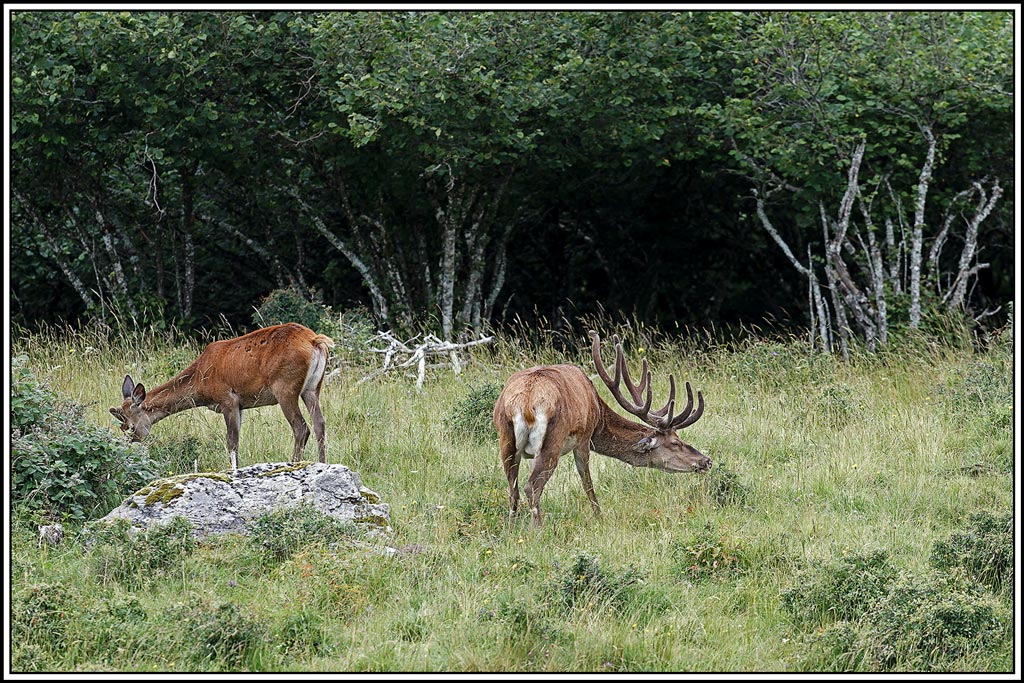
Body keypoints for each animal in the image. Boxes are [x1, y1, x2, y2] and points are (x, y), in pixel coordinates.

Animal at [109, 322, 336, 471]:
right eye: (121, 427)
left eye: (129, 426)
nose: (130, 450)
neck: (200, 382)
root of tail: (315, 340)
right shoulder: (241, 405)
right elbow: (236, 442)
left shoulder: (227, 399)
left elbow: (231, 442)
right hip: (312, 388)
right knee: (320, 423)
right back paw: (323, 464)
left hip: (284, 386)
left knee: (301, 427)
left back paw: (294, 464)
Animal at [492, 330, 711, 527]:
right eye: (675, 442)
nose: (706, 461)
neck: (597, 412)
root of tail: (525, 401)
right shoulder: (584, 437)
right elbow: (587, 481)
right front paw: (599, 517)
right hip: (553, 439)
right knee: (532, 487)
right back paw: (538, 530)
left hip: (506, 438)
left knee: (513, 490)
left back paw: (511, 530)